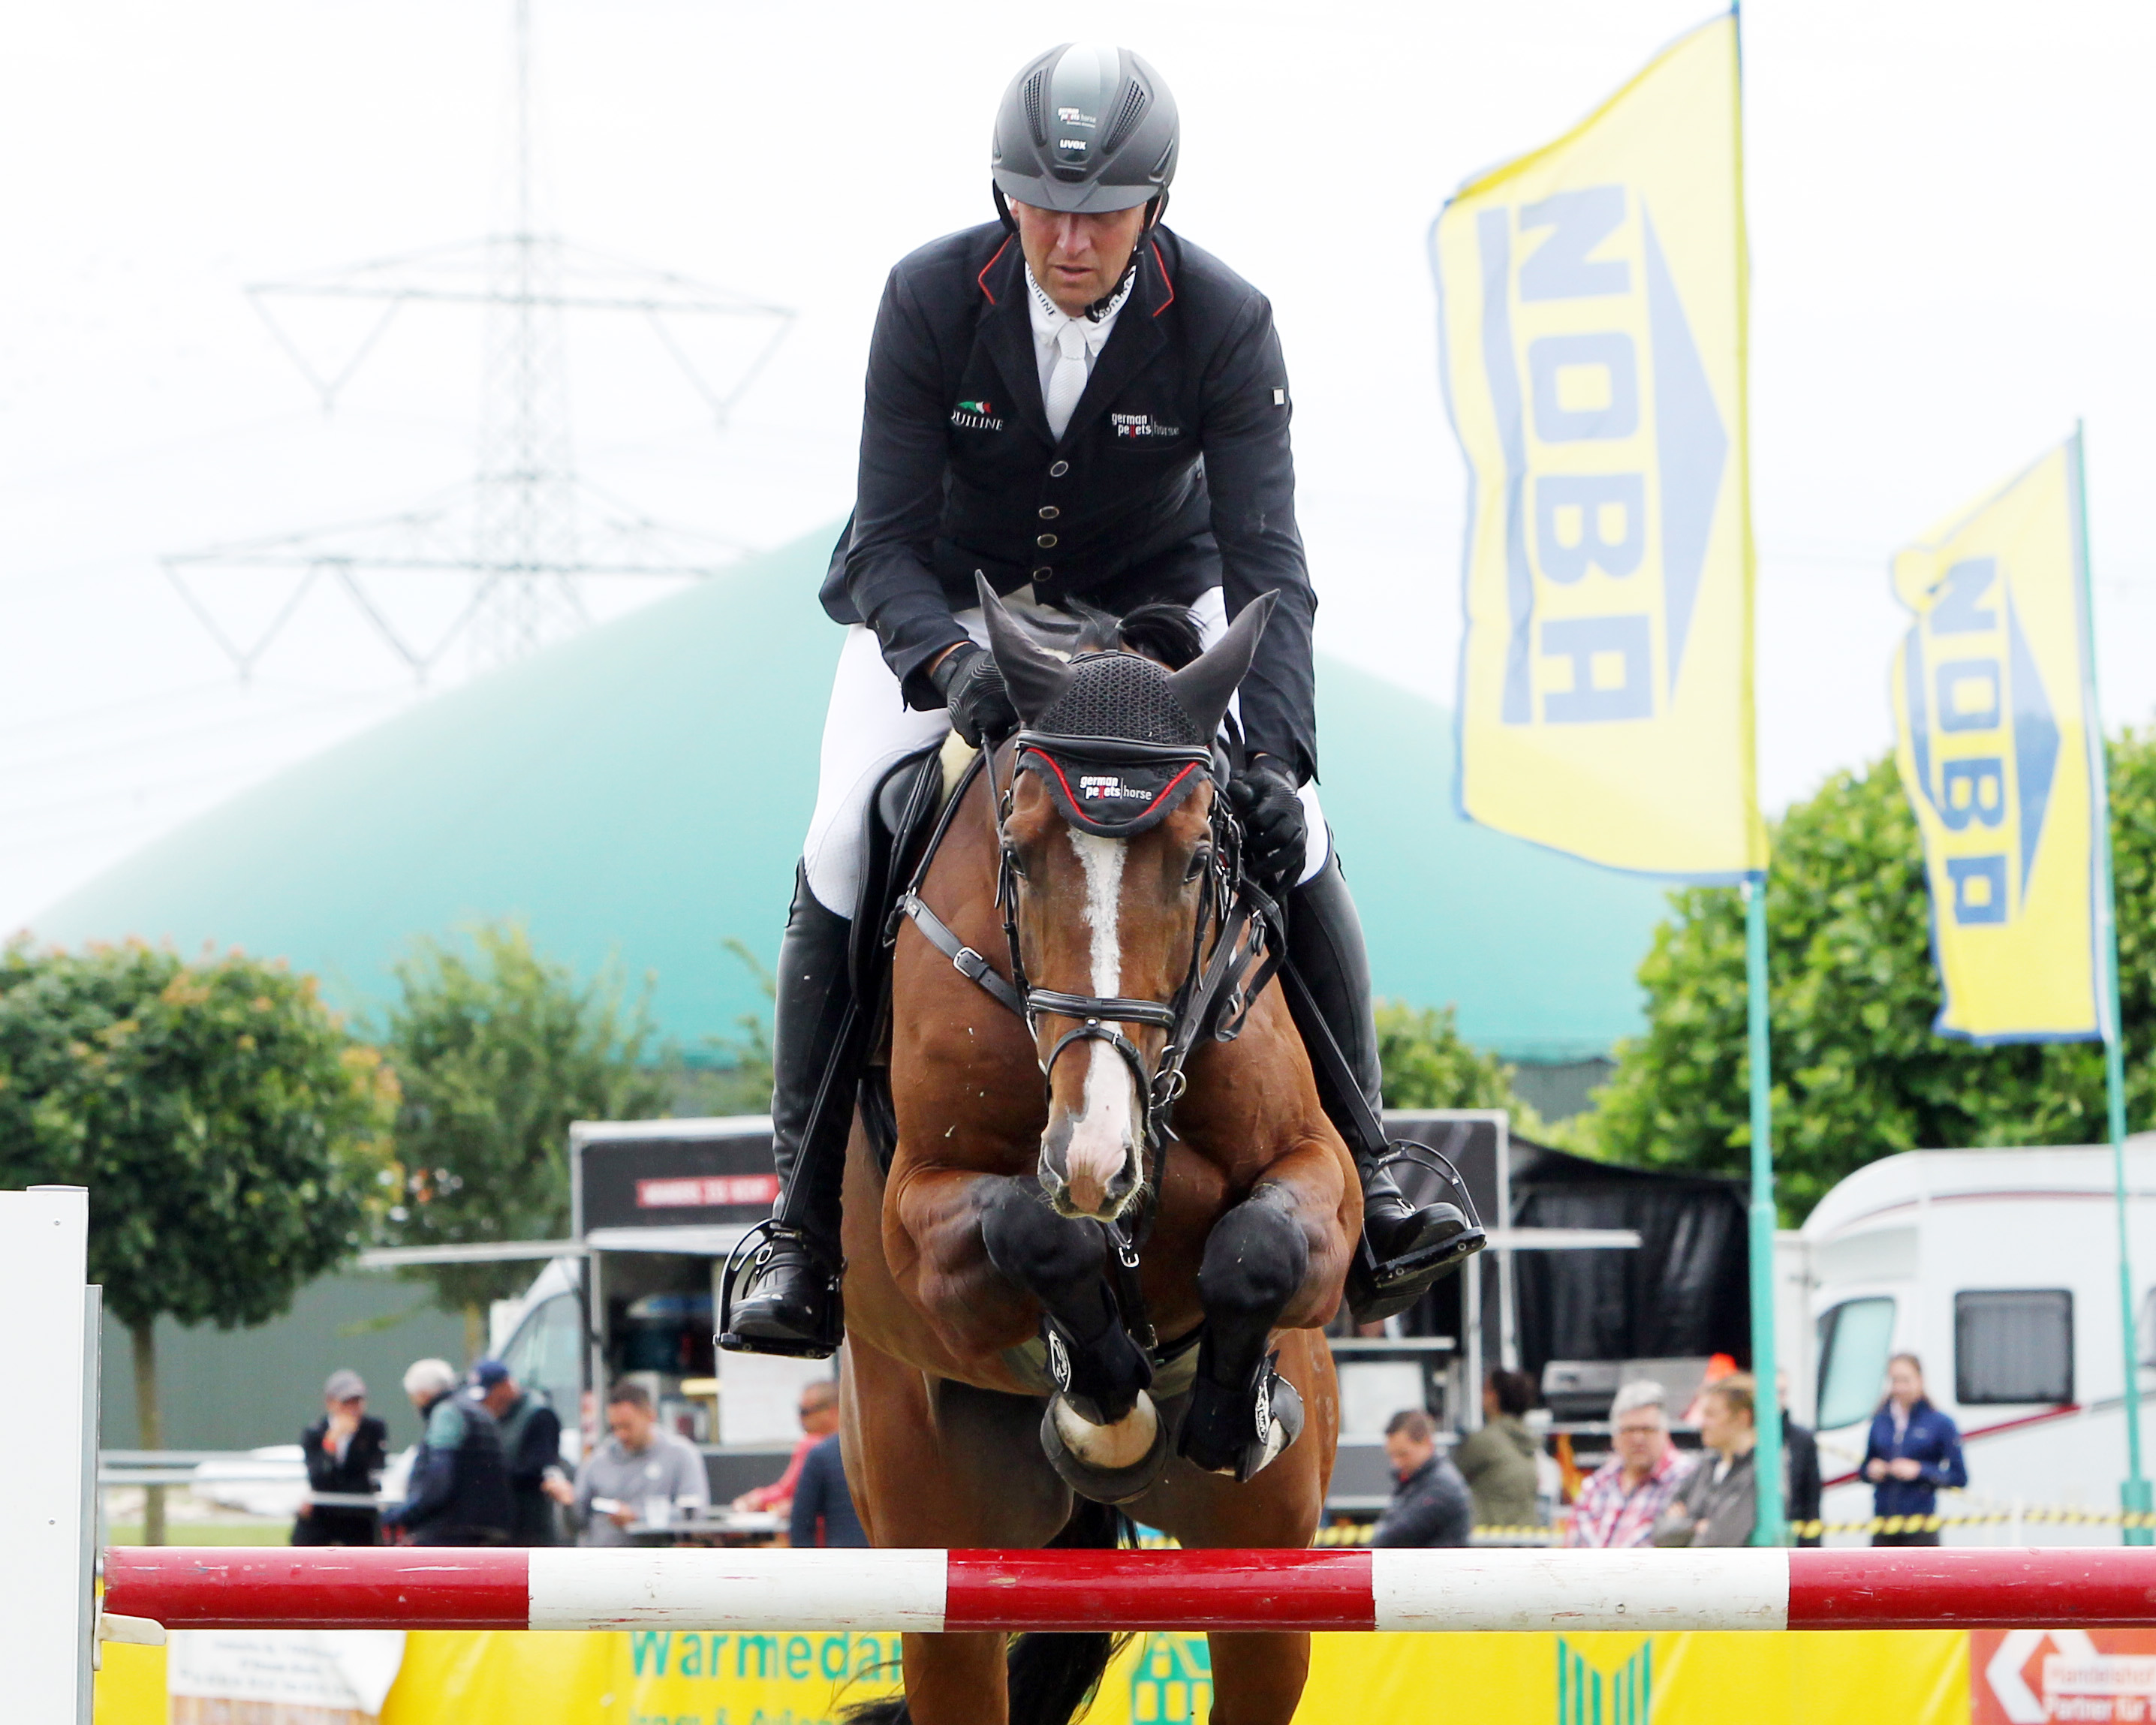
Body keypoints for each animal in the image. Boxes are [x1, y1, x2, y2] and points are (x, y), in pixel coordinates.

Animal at [836, 586, 1354, 1716]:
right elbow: (1038, 1232)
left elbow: (1260, 1248)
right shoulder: (917, 1216)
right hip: (939, 1565)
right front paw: (1102, 1390)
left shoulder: (1320, 1178)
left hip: (1269, 1585)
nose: (1096, 1156)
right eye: (1019, 854)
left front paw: (1232, 1408)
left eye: (1202, 857)